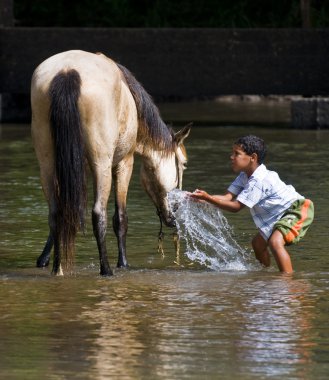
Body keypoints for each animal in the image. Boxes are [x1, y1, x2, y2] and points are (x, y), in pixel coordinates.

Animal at [31, 49, 190, 276]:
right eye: (183, 164)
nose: (174, 214)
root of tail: (67, 72)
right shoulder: (124, 162)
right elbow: (120, 218)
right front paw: (123, 263)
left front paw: (44, 258)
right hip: (102, 164)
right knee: (99, 214)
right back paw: (105, 269)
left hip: (47, 164)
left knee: (56, 213)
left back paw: (57, 269)